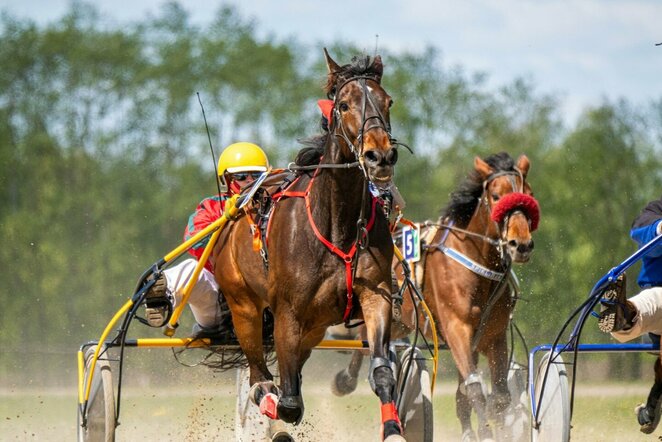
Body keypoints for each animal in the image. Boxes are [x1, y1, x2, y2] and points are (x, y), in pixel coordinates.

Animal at [215, 50, 408, 440]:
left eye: (388, 101)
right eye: (344, 104)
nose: (379, 156)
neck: (336, 223)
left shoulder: (375, 293)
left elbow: (382, 371)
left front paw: (393, 428)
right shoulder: (287, 311)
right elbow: (288, 400)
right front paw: (279, 415)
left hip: (315, 325)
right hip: (244, 307)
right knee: (260, 379)